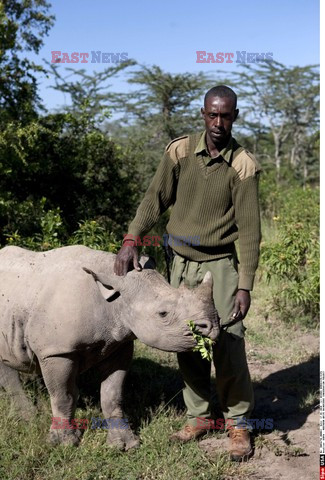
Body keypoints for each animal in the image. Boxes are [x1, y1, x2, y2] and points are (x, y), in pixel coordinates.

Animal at [0, 248, 220, 450]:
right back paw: (29, 417)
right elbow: (63, 396)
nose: (213, 326)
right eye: (163, 314)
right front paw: (64, 443)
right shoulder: (57, 350)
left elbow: (112, 395)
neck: (114, 297)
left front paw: (125, 444)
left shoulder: (119, 344)